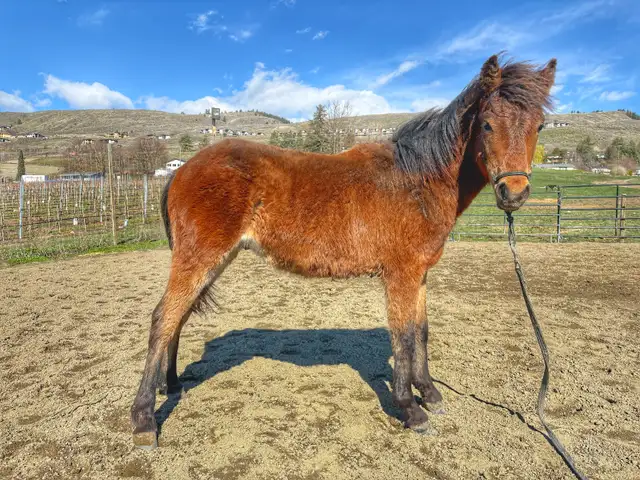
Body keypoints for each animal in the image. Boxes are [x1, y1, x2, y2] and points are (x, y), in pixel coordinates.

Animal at [130, 54, 557, 449]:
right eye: (486, 124)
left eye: (538, 125)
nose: (514, 193)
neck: (416, 180)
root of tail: (182, 170)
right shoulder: (400, 275)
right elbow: (403, 336)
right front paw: (411, 409)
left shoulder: (419, 275)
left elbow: (421, 331)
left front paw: (431, 394)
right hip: (200, 258)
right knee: (162, 319)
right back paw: (143, 420)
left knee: (179, 316)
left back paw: (171, 385)